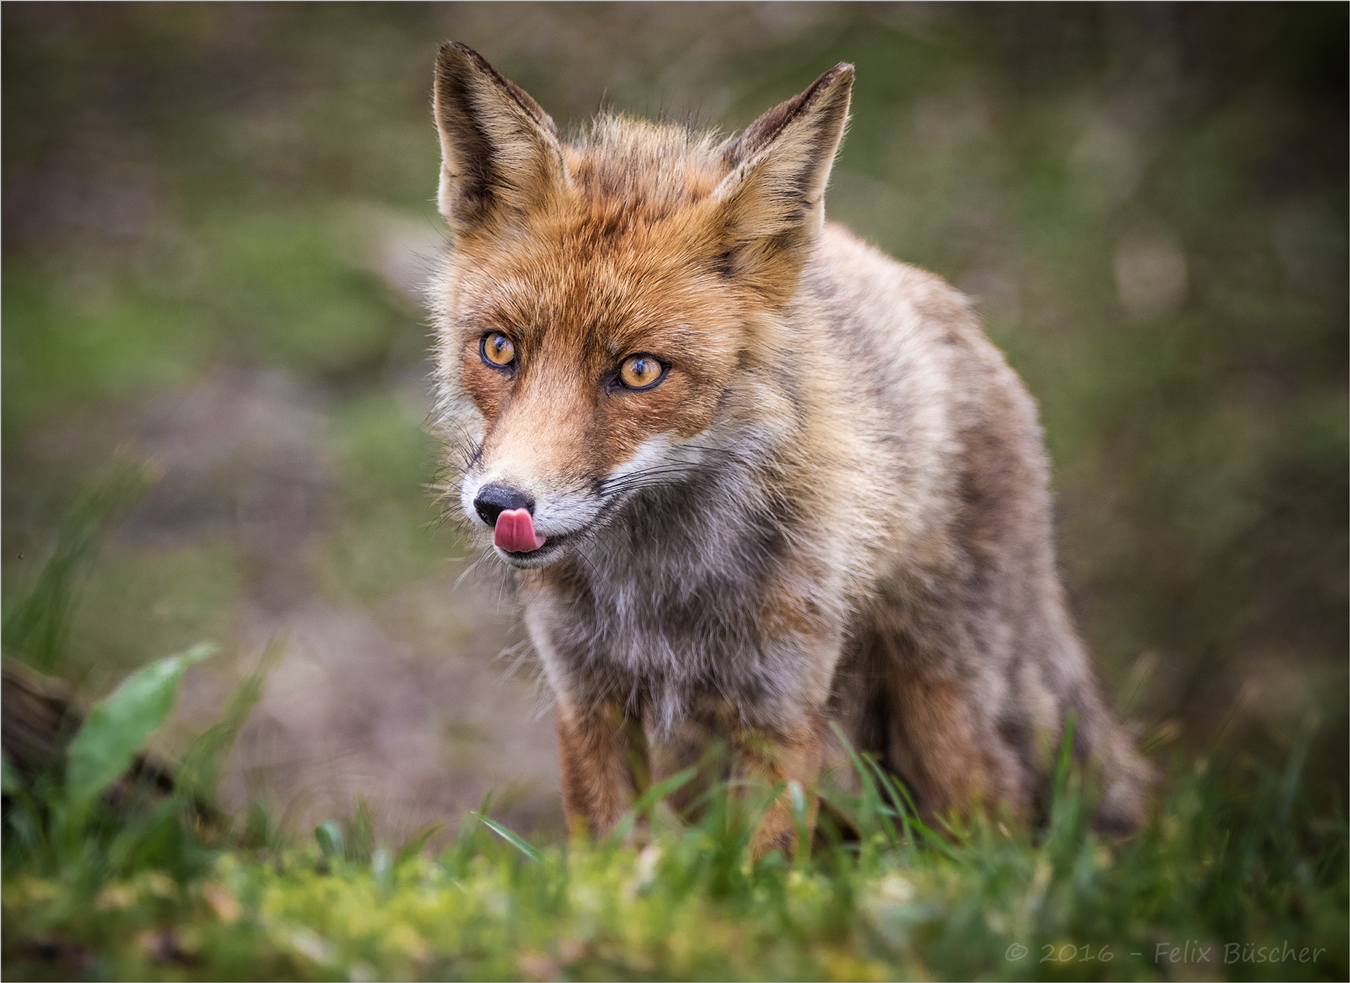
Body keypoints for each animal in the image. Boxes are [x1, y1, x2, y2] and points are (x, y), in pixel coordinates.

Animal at [426, 42, 1144, 853]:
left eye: (639, 371)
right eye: (498, 349)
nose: (500, 505)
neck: (660, 597)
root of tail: (961, 319)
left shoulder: (782, 706)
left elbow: (763, 863)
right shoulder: (589, 699)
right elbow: (613, 857)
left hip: (942, 726)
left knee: (997, 832)